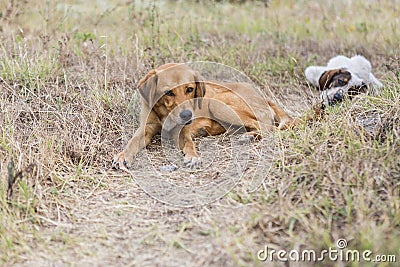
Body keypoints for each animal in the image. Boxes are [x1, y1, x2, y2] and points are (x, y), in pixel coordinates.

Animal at [111, 63, 296, 170]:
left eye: (190, 89)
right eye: (168, 92)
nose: (187, 115)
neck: (165, 114)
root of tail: (264, 96)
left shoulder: (183, 132)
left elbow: (189, 144)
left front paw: (193, 156)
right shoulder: (146, 128)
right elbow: (132, 142)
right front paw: (123, 155)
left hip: (218, 105)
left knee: (269, 128)